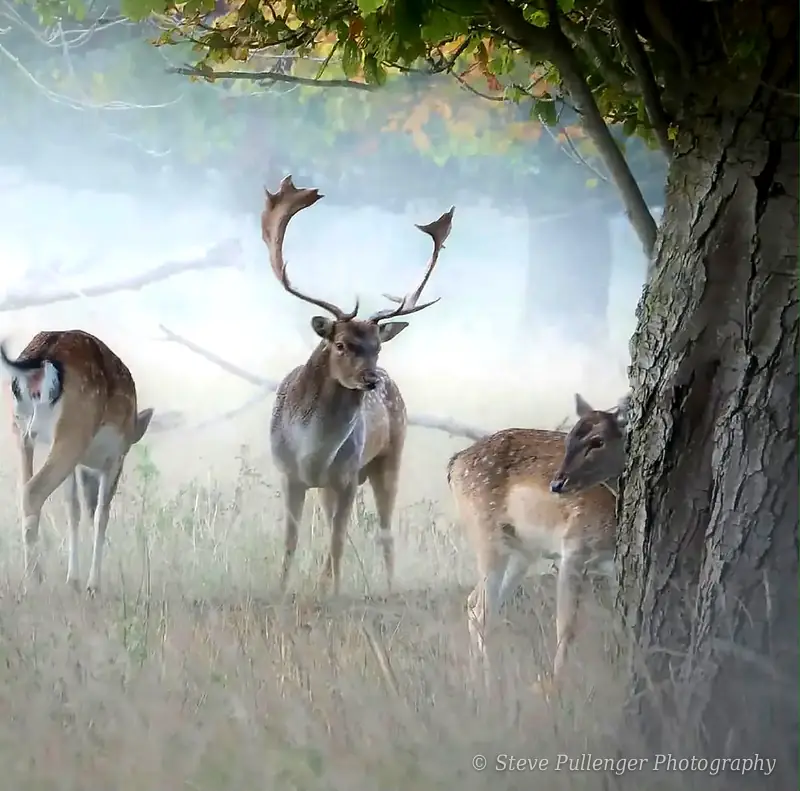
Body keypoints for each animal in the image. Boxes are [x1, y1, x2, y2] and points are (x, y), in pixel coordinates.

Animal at [0, 329, 154, 593]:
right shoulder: (116, 458)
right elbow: (101, 514)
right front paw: (93, 584)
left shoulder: (78, 465)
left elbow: (73, 510)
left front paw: (73, 580)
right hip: (73, 431)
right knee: (33, 491)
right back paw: (34, 578)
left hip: (21, 430)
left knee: (24, 487)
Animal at [262, 175, 454, 596]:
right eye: (340, 343)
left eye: (378, 346)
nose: (371, 379)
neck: (312, 452)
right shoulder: (289, 474)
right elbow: (291, 539)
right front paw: (282, 589)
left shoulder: (347, 476)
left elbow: (337, 539)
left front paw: (332, 592)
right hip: (332, 485)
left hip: (390, 458)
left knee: (383, 530)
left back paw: (388, 585)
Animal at [447, 392, 629, 691]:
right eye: (569, 438)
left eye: (597, 441)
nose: (557, 484)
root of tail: (453, 464)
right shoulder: (573, 546)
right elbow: (565, 626)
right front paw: (555, 688)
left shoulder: (612, 565)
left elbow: (620, 619)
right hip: (486, 534)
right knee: (481, 610)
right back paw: (489, 686)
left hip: (522, 552)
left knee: (479, 606)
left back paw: (479, 682)